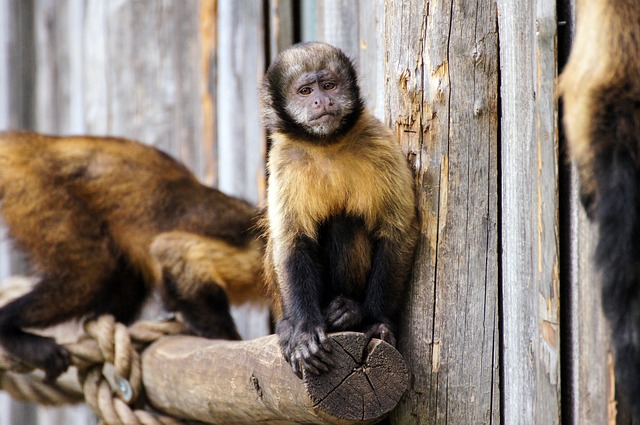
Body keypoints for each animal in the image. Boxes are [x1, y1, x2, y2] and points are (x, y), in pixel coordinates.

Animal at [0, 130, 264, 380]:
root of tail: (36, 142)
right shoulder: (258, 255)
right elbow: (170, 248)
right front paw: (224, 337)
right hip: (32, 186)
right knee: (92, 273)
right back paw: (9, 329)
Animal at [262, 41, 420, 376]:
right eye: (305, 91)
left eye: (329, 85)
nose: (322, 100)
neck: (327, 144)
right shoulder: (284, 158)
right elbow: (292, 241)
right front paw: (303, 331)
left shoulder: (380, 142)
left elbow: (397, 231)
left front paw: (376, 321)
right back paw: (290, 324)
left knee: (343, 223)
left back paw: (348, 311)